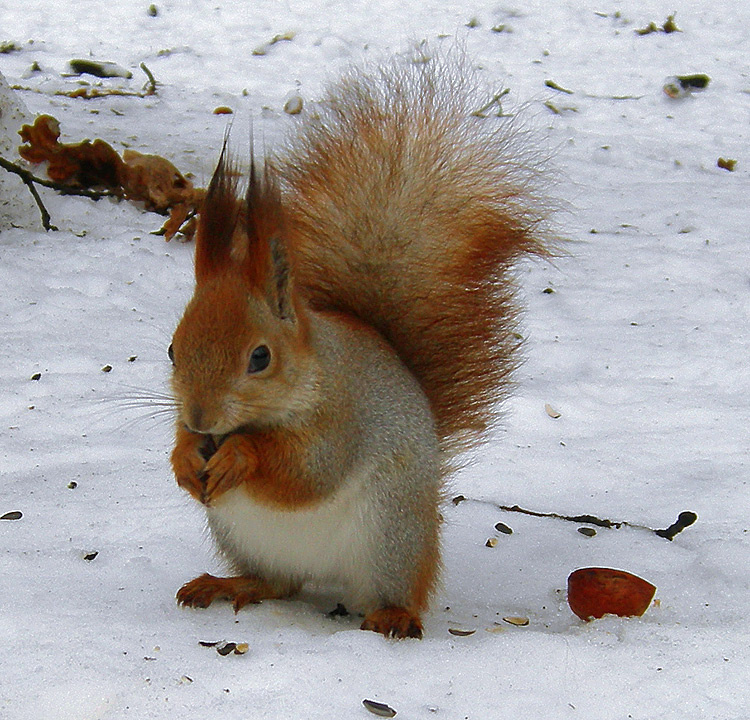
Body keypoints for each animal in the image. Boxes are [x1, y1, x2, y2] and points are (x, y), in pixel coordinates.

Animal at [168, 51, 550, 639]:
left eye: (261, 357)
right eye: (171, 350)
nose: (200, 418)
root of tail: (324, 573)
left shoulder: (344, 417)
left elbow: (307, 471)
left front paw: (241, 456)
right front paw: (184, 457)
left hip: (390, 535)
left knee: (391, 591)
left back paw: (393, 615)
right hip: (245, 538)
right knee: (278, 583)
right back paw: (230, 584)